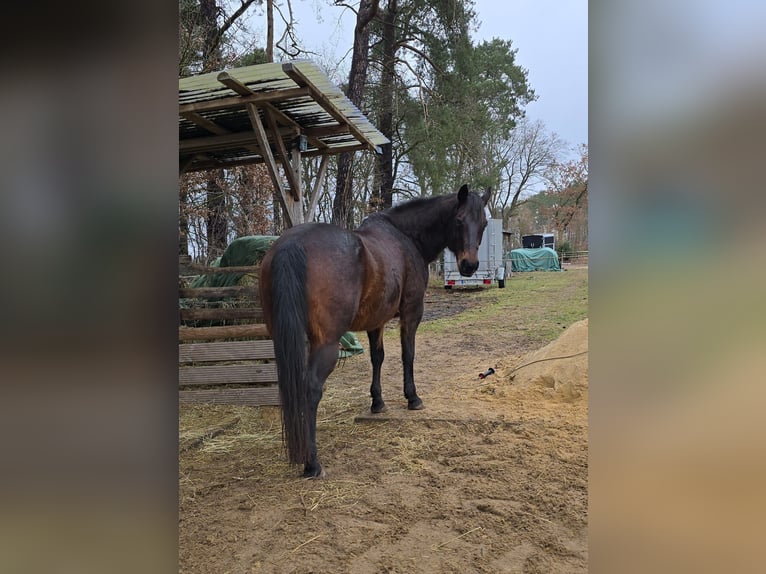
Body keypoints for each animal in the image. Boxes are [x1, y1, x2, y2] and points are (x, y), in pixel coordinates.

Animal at [259, 184, 491, 477]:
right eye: (459, 220)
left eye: (483, 223)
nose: (469, 265)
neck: (405, 237)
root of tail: (292, 245)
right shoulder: (412, 313)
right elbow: (407, 355)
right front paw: (412, 398)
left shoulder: (376, 321)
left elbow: (377, 358)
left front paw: (377, 402)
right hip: (326, 344)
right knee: (310, 389)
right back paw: (312, 462)